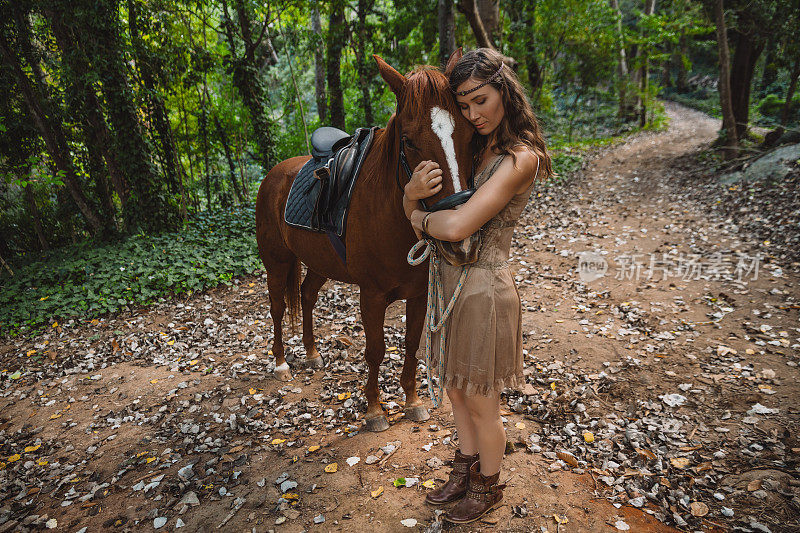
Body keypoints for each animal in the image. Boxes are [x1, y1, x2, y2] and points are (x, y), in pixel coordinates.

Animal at [253, 52, 472, 430]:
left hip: (320, 262)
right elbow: (376, 350)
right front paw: (374, 410)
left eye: (469, 134)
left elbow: (411, 344)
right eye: (409, 141)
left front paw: (413, 401)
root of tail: (273, 175)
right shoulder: (371, 295)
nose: (457, 238)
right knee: (278, 307)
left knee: (307, 295)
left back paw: (312, 353)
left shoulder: (418, 295)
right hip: (276, 262)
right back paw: (281, 363)